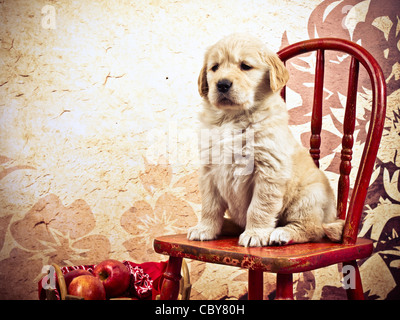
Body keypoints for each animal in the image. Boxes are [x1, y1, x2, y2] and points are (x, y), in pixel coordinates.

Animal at [188, 33, 344, 246]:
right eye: (215, 68)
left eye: (245, 66)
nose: (222, 84)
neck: (231, 117)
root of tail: (333, 217)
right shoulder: (209, 171)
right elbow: (209, 206)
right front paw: (205, 229)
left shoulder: (268, 170)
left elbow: (259, 207)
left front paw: (255, 233)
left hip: (309, 197)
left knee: (314, 228)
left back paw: (282, 233)